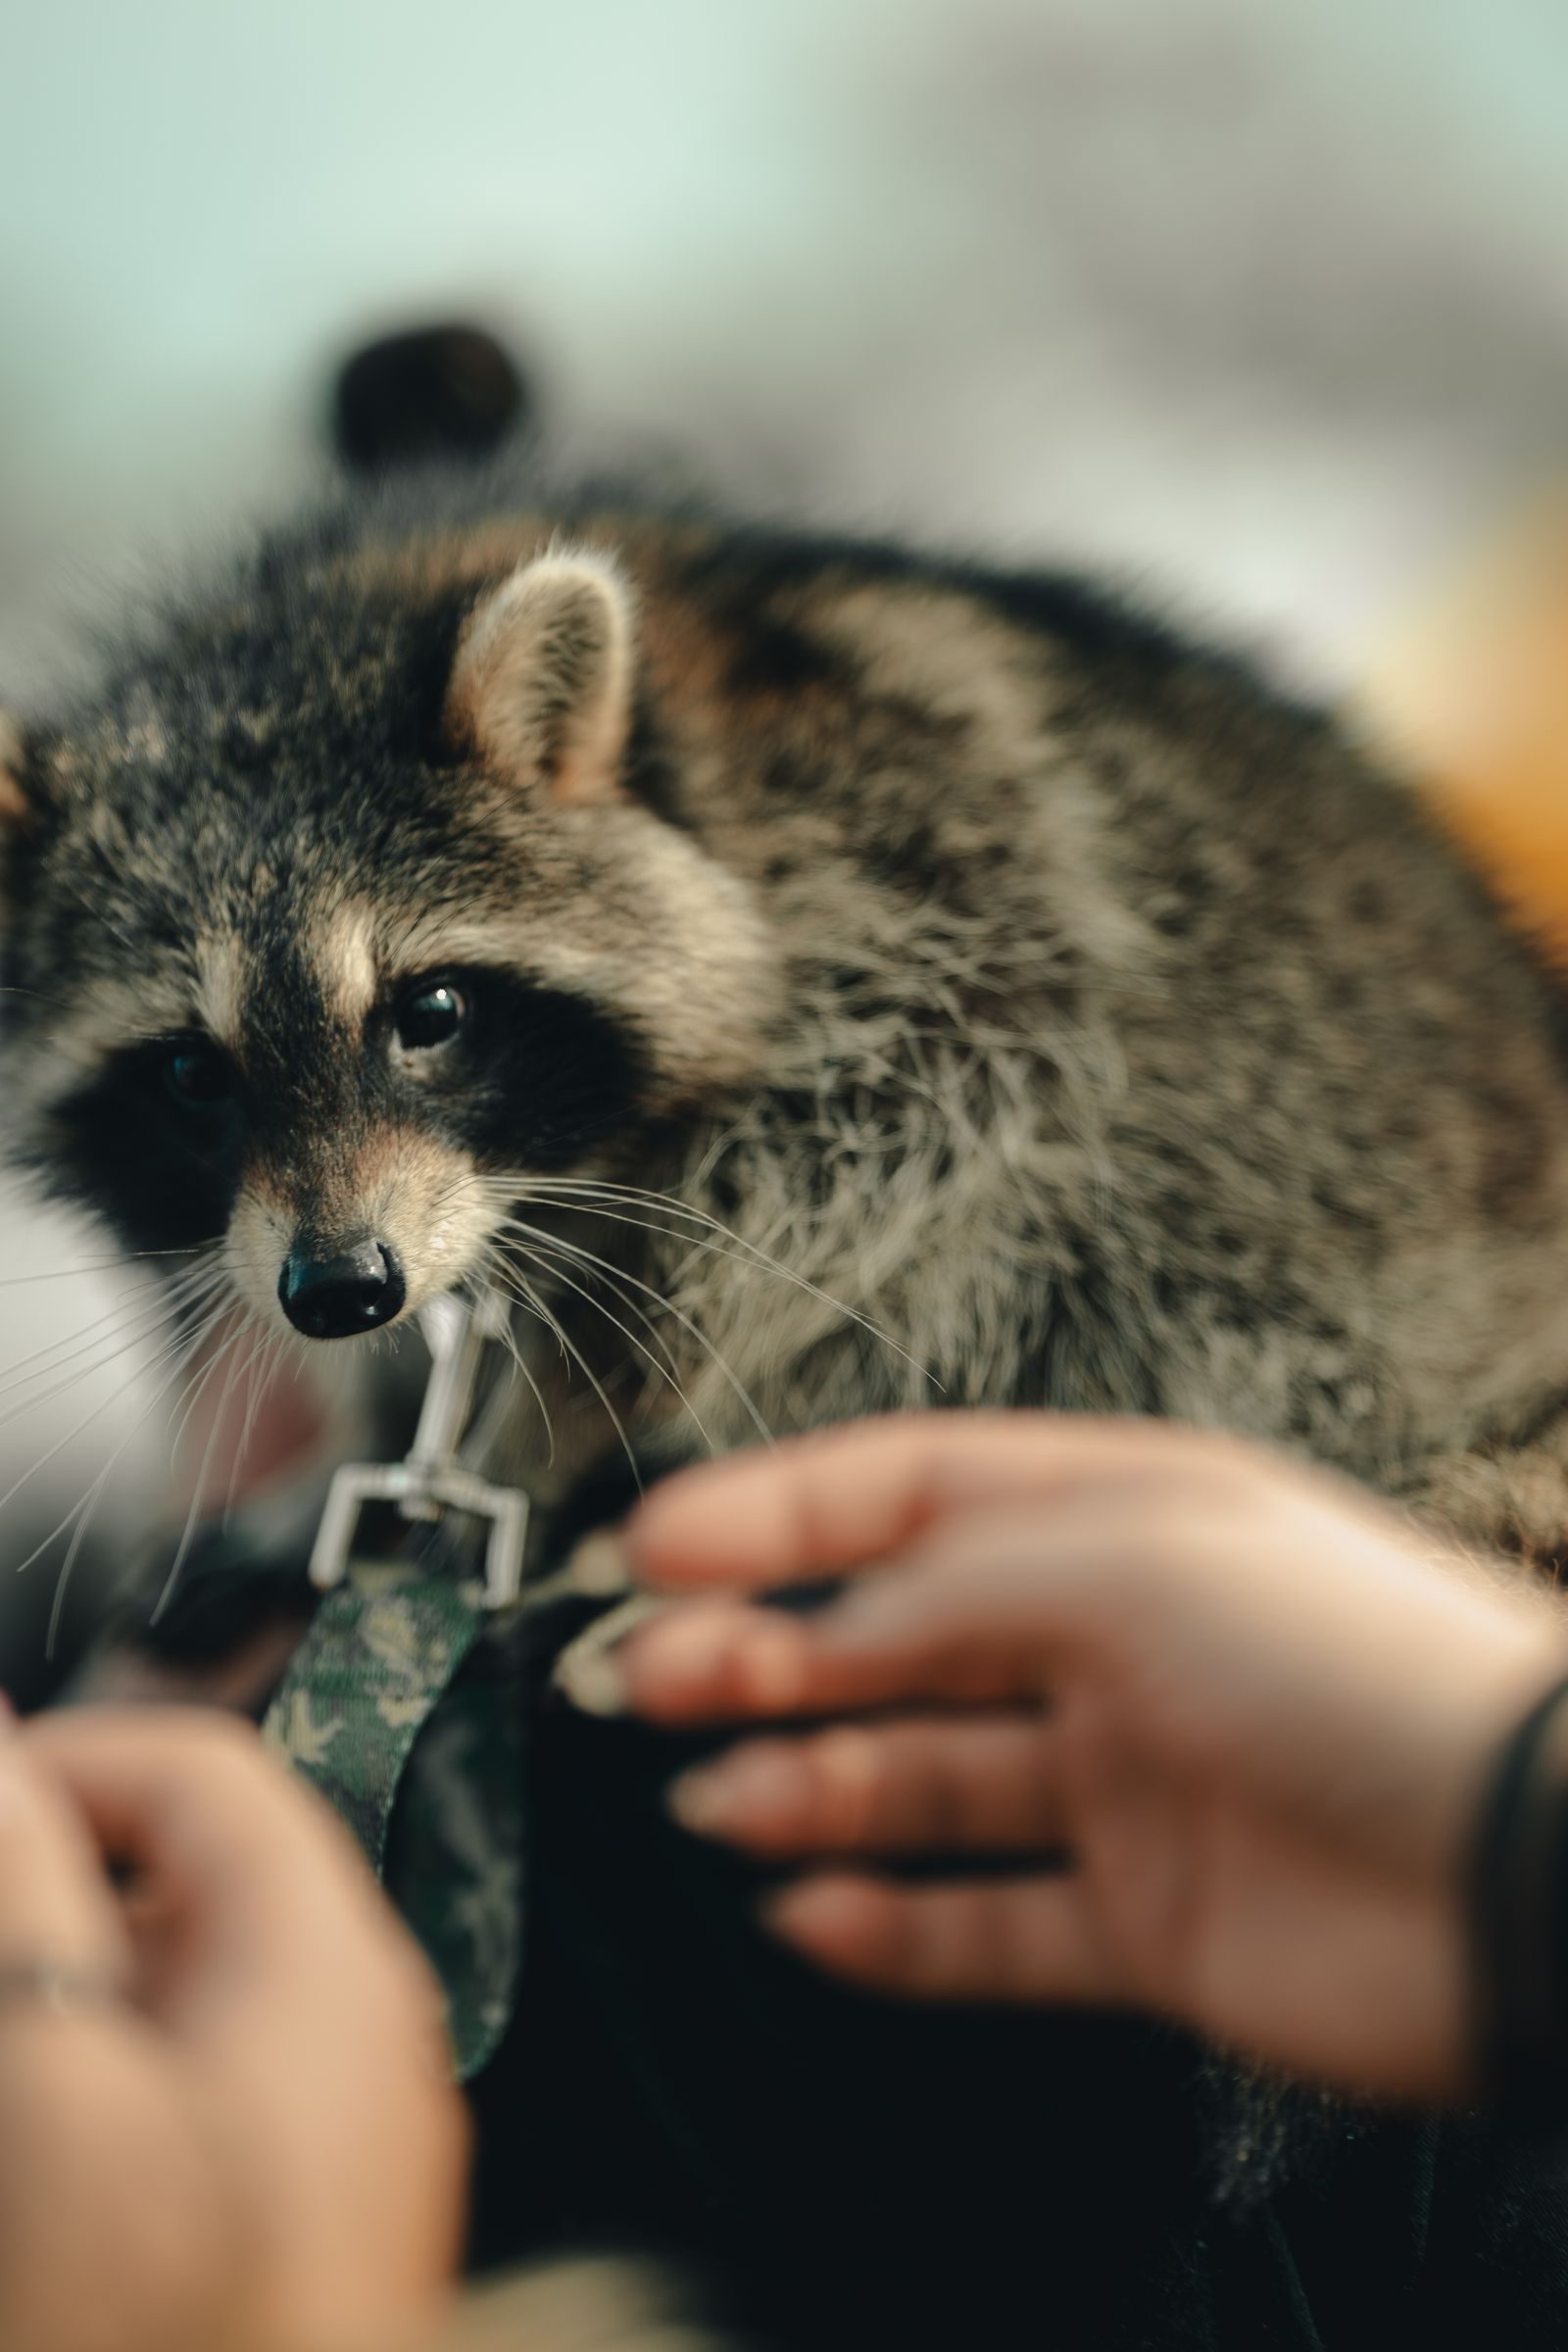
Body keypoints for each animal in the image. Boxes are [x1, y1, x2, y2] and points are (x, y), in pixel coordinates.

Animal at [2, 470, 1568, 1570]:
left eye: (428, 1011)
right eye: (191, 1073)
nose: (342, 1291)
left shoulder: (943, 873)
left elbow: (891, 1164)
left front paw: (571, 1407)